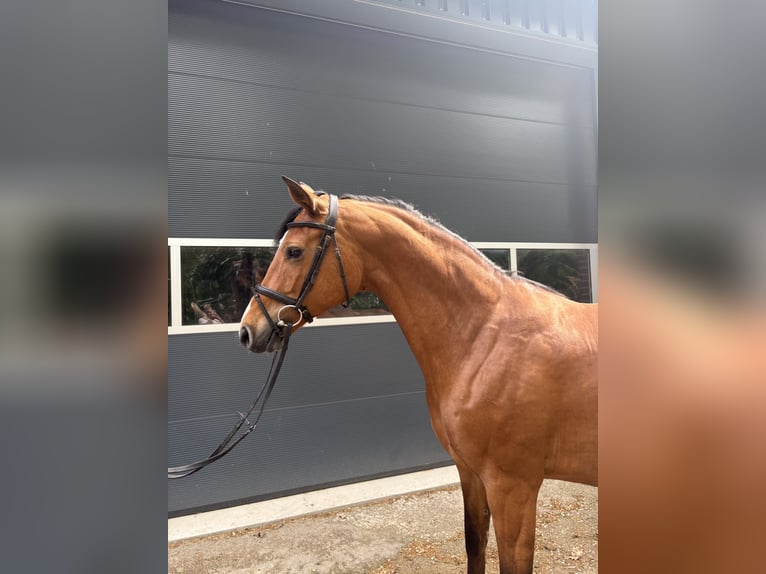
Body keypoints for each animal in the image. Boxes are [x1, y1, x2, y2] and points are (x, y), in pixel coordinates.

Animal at [238, 177, 598, 574]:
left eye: (294, 252)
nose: (248, 331)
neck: (487, 335)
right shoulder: (471, 473)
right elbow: (475, 544)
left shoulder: (513, 487)